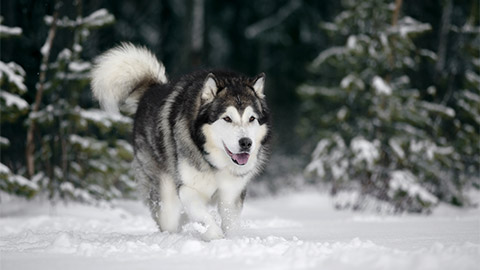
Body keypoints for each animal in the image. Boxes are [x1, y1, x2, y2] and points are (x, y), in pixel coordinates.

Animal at [90, 42, 270, 240]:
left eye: (252, 119)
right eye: (227, 118)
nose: (246, 143)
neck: (213, 162)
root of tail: (152, 90)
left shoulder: (231, 194)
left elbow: (230, 222)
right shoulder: (187, 189)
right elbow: (204, 217)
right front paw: (215, 237)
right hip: (166, 195)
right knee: (169, 221)